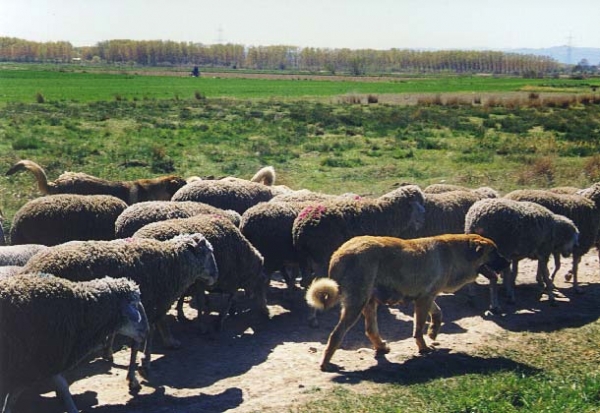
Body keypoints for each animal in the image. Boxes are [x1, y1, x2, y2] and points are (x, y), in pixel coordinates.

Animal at [0, 274, 149, 412]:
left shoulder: (35, 365)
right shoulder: (44, 360)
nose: (146, 330)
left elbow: (13, 396)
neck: (81, 310)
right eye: (134, 305)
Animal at [18, 232, 220, 390]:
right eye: (208, 253)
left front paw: (110, 352)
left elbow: (126, 333)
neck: (173, 263)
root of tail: (29, 269)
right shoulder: (150, 305)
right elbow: (142, 340)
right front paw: (139, 370)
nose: (215, 276)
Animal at [135, 212, 268, 332]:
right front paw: (212, 323)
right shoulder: (208, 282)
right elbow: (209, 302)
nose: (266, 313)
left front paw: (182, 313)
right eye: (262, 282)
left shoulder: (196, 282)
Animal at [308, 233, 508, 372]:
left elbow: (438, 313)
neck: (456, 253)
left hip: (369, 303)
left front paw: (433, 332)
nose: (507, 263)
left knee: (370, 330)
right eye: (494, 252)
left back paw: (381, 347)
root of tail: (338, 254)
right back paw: (326, 364)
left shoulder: (425, 297)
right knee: (336, 335)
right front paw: (424, 348)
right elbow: (418, 329)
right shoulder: (424, 300)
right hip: (357, 305)